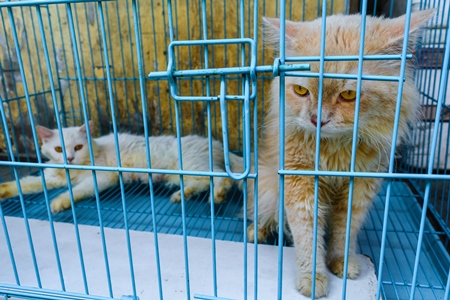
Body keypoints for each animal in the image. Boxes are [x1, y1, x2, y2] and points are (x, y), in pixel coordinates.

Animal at [0, 121, 243, 213]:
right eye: (59, 149)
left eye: (78, 147)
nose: (69, 158)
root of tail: (217, 144)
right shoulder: (50, 177)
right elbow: (26, 184)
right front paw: (3, 190)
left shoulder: (102, 177)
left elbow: (77, 190)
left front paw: (60, 201)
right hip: (180, 175)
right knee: (200, 183)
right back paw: (182, 195)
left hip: (193, 164)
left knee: (221, 177)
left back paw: (218, 195)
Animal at [248, 9, 434, 298]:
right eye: (301, 91)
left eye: (348, 94)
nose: (317, 120)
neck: (335, 149)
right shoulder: (300, 183)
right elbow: (308, 237)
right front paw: (313, 279)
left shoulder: (361, 187)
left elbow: (344, 232)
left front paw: (342, 263)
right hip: (267, 187)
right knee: (264, 212)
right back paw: (256, 232)